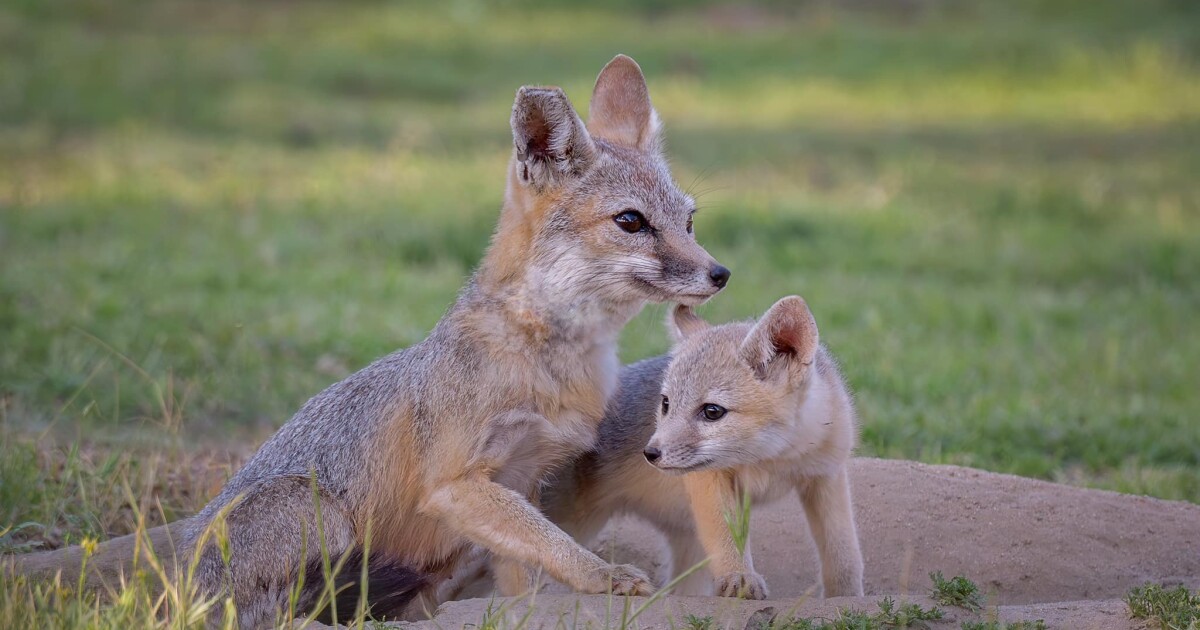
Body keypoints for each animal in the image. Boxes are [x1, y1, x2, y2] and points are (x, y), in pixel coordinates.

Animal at [6, 55, 730, 627]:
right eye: (631, 222)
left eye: (690, 220)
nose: (720, 273)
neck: (549, 362)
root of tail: (177, 570)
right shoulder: (458, 484)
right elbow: (550, 544)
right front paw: (601, 577)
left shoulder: (522, 481)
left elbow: (523, 572)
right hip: (323, 512)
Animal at [504, 296, 864, 600]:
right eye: (666, 403)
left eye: (712, 411)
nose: (650, 454)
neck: (770, 459)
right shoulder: (710, 480)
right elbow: (727, 537)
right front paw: (740, 578)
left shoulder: (826, 476)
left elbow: (843, 553)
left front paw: (845, 598)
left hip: (687, 542)